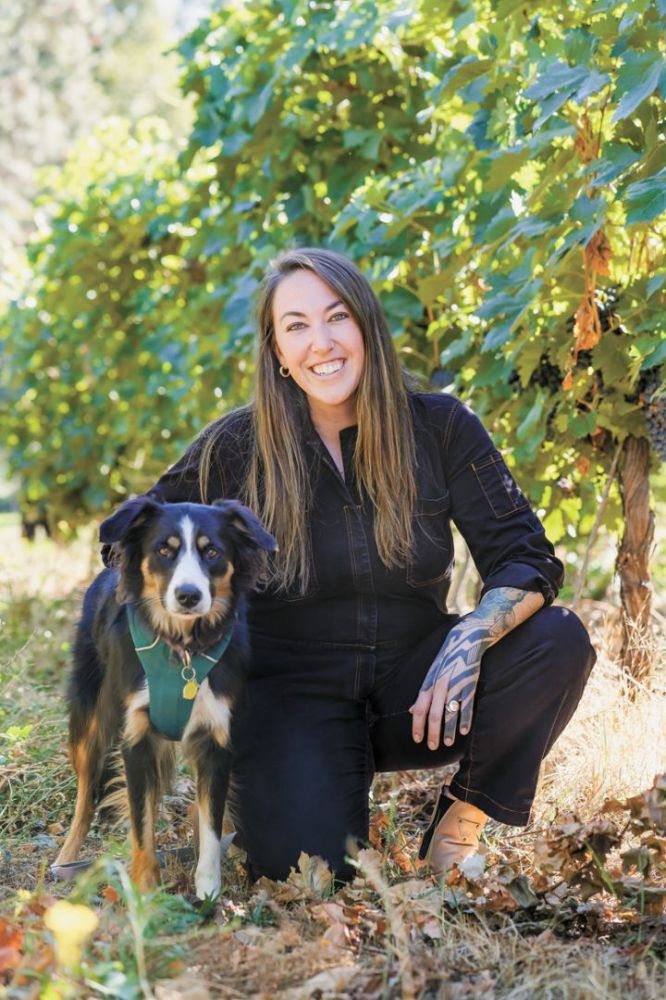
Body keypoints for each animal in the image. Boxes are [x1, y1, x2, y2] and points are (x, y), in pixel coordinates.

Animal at [53, 496, 278, 896]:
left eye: (212, 551)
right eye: (163, 550)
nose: (188, 595)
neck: (183, 648)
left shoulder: (216, 740)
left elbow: (210, 827)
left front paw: (207, 894)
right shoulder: (136, 738)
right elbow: (142, 827)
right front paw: (146, 894)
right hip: (90, 719)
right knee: (85, 794)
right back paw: (66, 860)